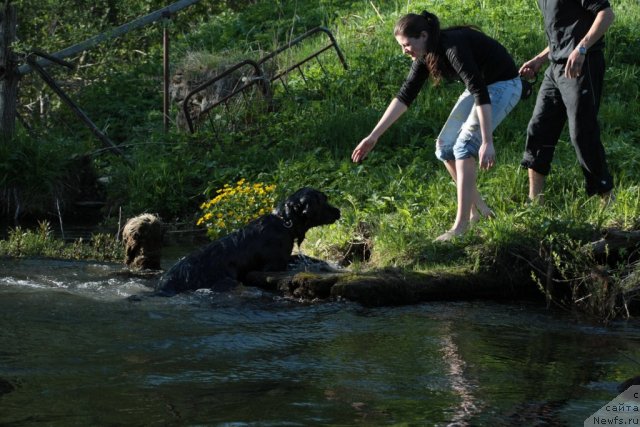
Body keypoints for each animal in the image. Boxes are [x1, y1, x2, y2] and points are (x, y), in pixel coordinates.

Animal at [154, 189, 340, 296]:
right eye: (323, 200)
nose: (339, 211)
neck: (284, 222)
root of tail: (164, 283)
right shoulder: (274, 265)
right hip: (227, 280)